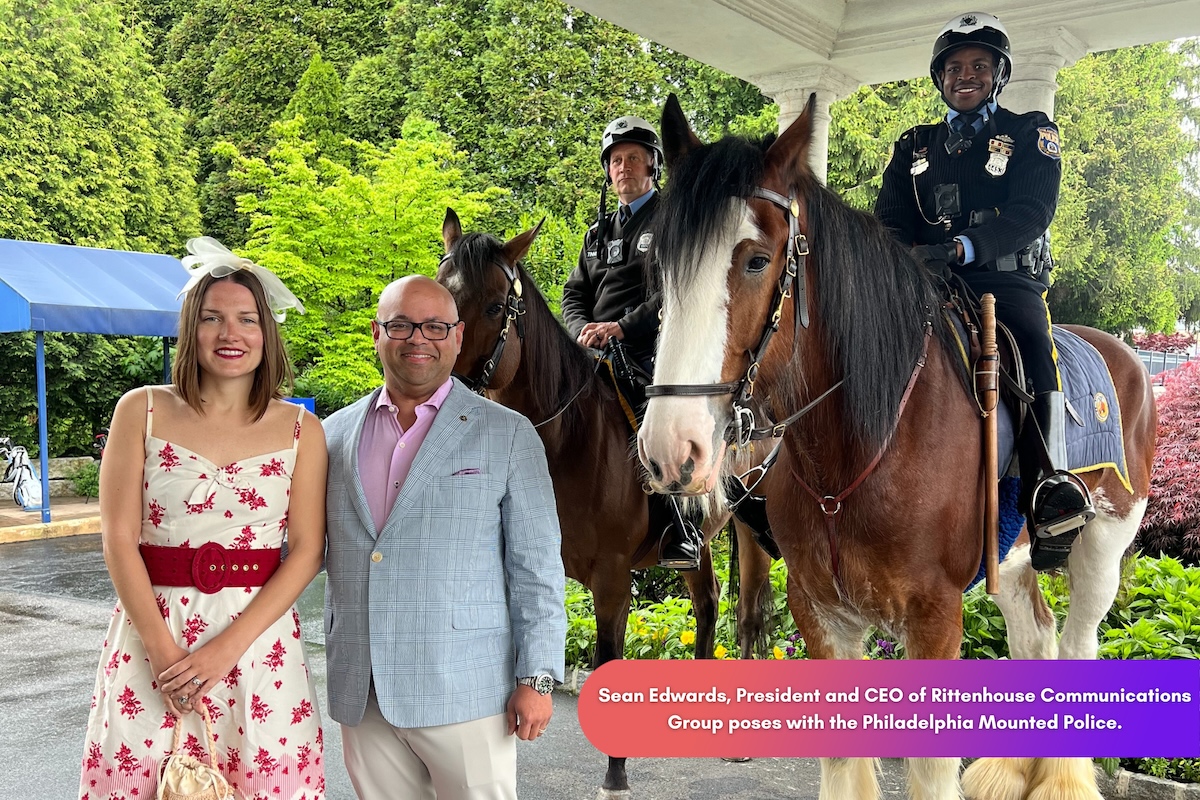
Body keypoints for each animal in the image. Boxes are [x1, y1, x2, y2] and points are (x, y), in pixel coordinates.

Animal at [436, 209, 772, 796]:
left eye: (496, 306)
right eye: (439, 285)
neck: (568, 438)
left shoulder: (613, 579)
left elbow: (607, 658)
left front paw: (615, 775)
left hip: (753, 532)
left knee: (748, 614)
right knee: (708, 604)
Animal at [643, 95, 1156, 800]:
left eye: (756, 260)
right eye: (659, 264)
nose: (672, 448)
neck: (860, 446)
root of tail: (1125, 353)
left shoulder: (934, 616)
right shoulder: (821, 611)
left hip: (1103, 543)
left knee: (1079, 644)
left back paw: (1060, 781)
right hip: (1011, 558)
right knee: (1037, 635)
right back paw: (1012, 772)